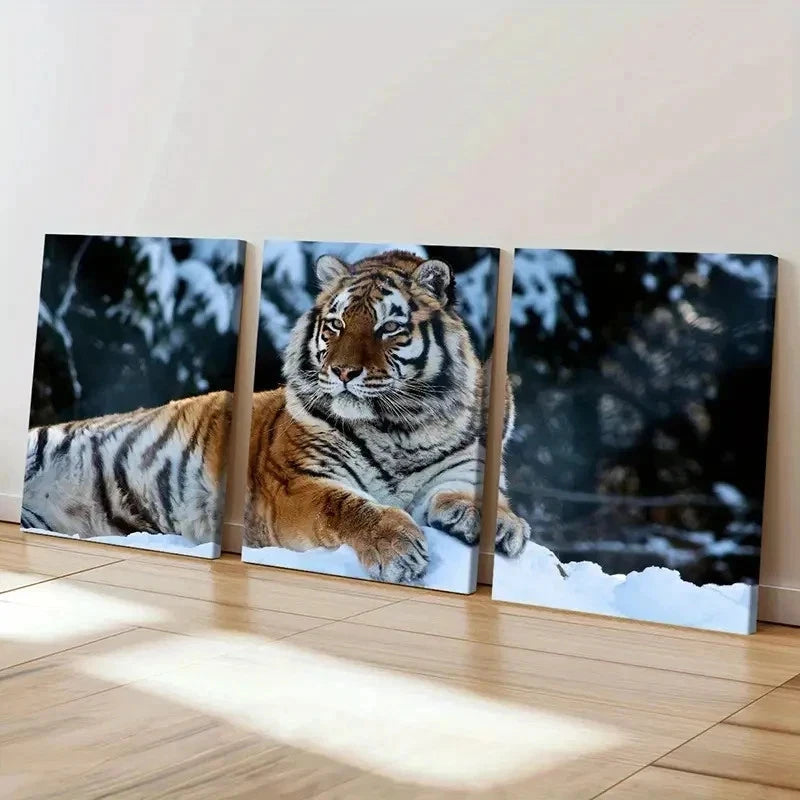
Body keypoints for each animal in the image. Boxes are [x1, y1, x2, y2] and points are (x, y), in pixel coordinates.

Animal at [243, 249, 530, 582]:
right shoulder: (296, 481)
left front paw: (498, 523)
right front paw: (396, 547)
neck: (397, 428)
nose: (343, 371)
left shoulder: (465, 463)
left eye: (389, 328)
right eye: (337, 324)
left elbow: (475, 491)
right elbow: (341, 506)